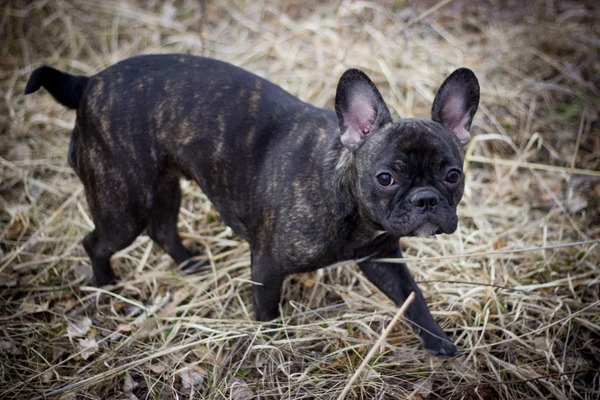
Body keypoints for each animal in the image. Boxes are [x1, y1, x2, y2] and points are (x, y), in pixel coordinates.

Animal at [25, 55, 480, 356]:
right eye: (386, 177)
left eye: (452, 175)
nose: (426, 199)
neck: (343, 194)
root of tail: (89, 83)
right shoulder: (267, 267)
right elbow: (267, 312)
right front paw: (273, 345)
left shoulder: (383, 258)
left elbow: (412, 298)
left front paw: (438, 341)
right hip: (124, 204)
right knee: (97, 242)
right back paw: (105, 285)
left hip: (164, 186)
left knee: (163, 228)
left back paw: (189, 265)